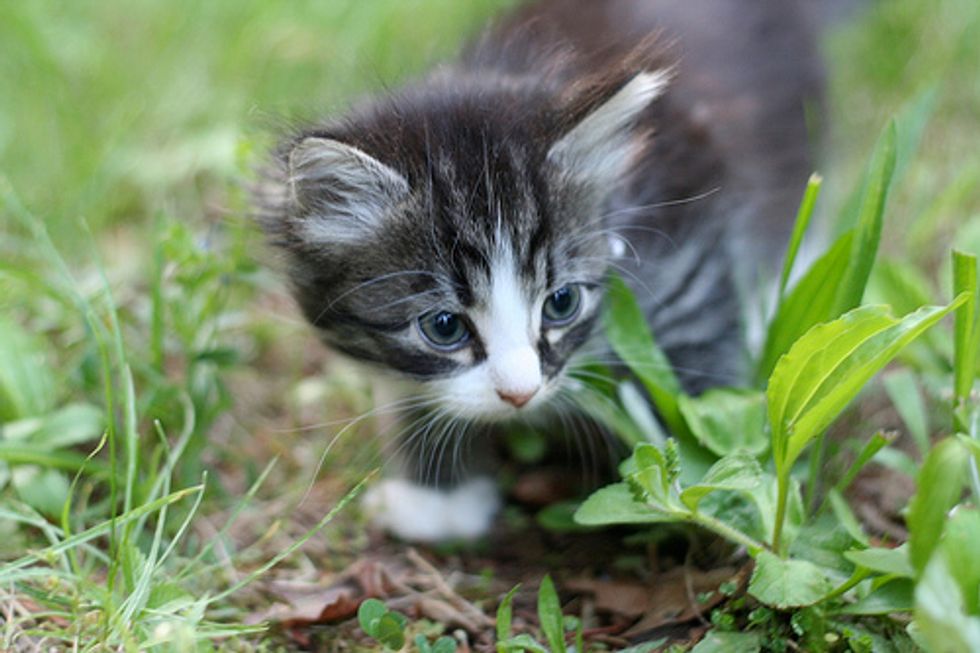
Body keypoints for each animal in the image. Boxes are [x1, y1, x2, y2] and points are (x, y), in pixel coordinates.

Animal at [256, 0, 824, 540]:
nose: (520, 395)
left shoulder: (690, 245)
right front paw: (437, 497)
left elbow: (699, 359)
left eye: (561, 303)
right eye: (444, 327)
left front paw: (702, 486)